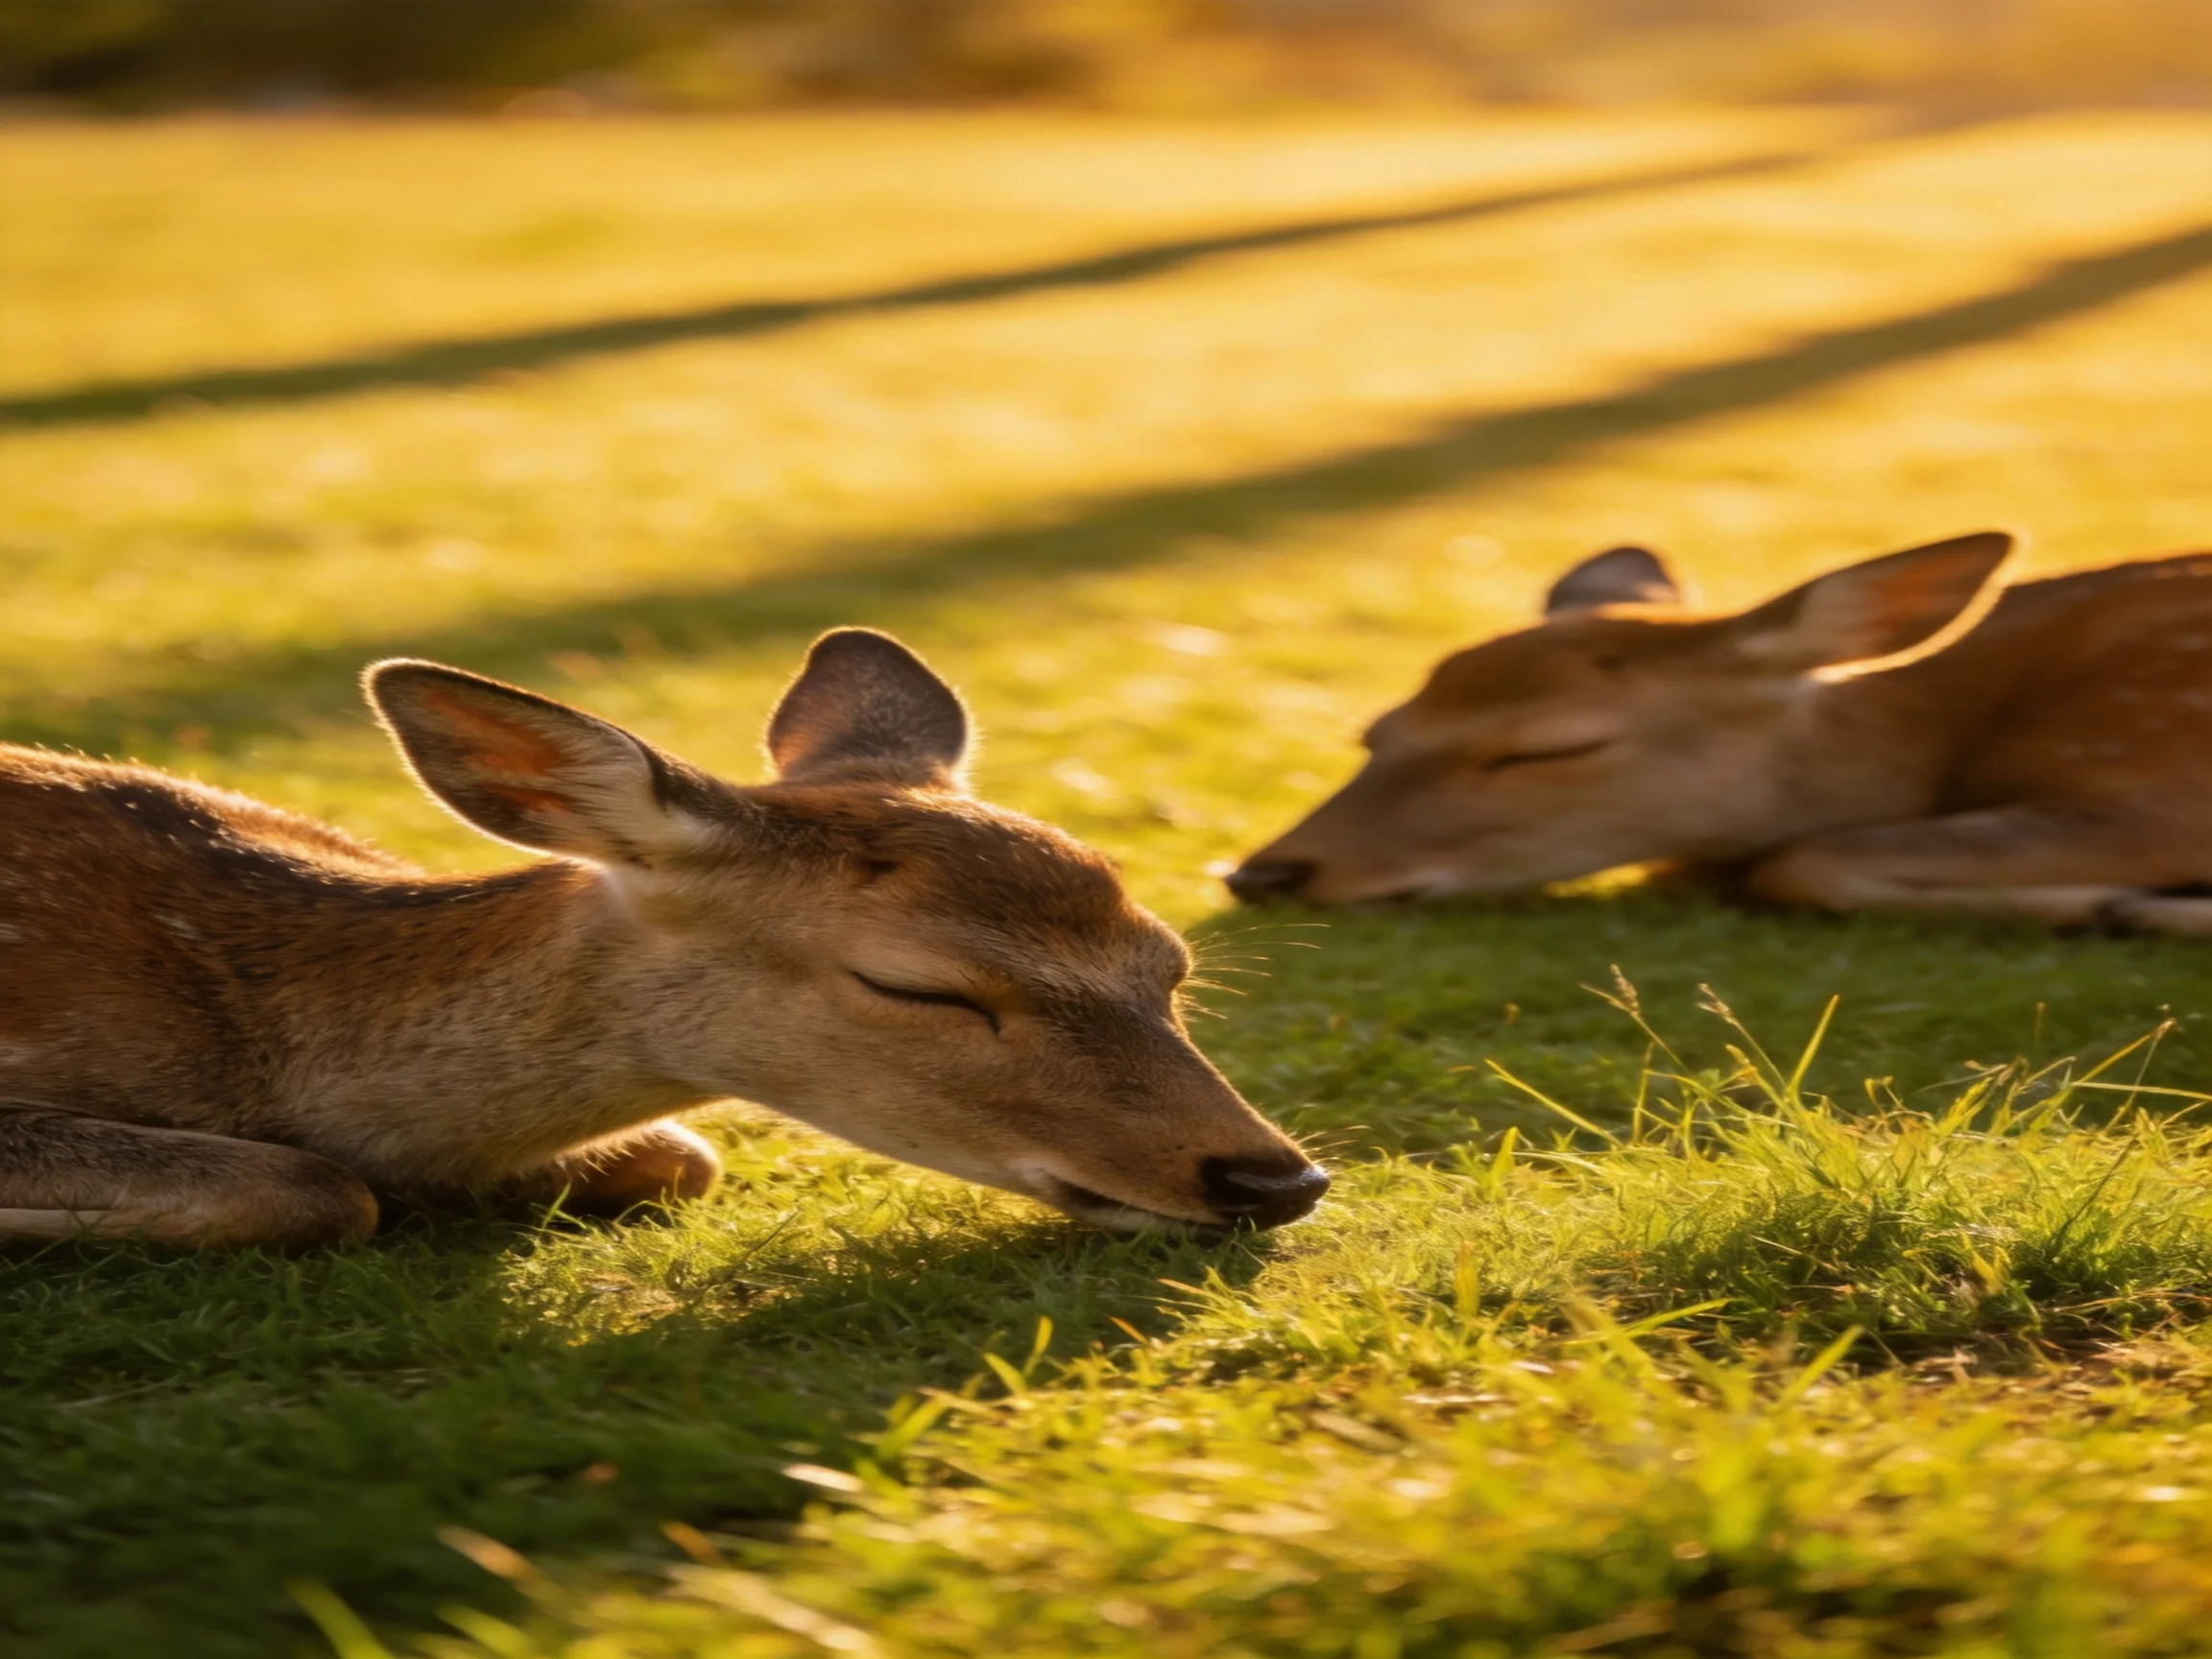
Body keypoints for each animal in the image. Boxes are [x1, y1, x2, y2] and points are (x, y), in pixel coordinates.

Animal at [1229, 531, 2212, 934]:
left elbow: (1807, 859)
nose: (1262, 871)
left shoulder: (2155, 787)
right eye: (1376, 731)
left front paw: (2115, 903)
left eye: (1552, 747)